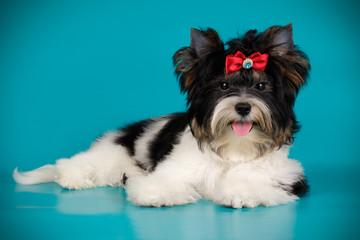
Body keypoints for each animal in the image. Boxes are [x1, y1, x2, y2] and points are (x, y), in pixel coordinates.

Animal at [14, 23, 310, 208]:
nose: (243, 107)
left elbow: (254, 184)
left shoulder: (284, 177)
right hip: (113, 150)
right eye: (224, 86)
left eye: (261, 87)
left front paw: (240, 194)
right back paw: (73, 176)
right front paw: (156, 194)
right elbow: (166, 180)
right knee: (82, 163)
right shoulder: (177, 166)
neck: (234, 148)